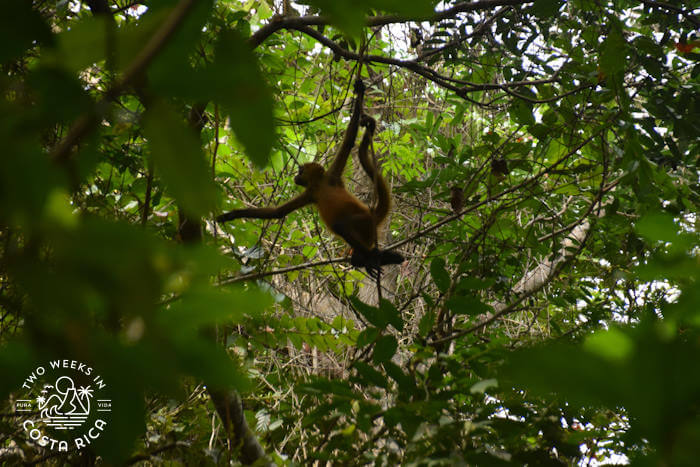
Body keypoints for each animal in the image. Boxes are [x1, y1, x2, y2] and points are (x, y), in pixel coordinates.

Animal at [216, 79, 403, 278]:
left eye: (300, 171)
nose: (295, 176)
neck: (320, 184)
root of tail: (372, 214)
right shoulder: (311, 193)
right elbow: (278, 212)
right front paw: (232, 215)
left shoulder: (331, 176)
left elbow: (349, 140)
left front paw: (360, 92)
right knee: (355, 250)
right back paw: (381, 258)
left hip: (363, 222)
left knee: (341, 225)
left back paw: (373, 256)